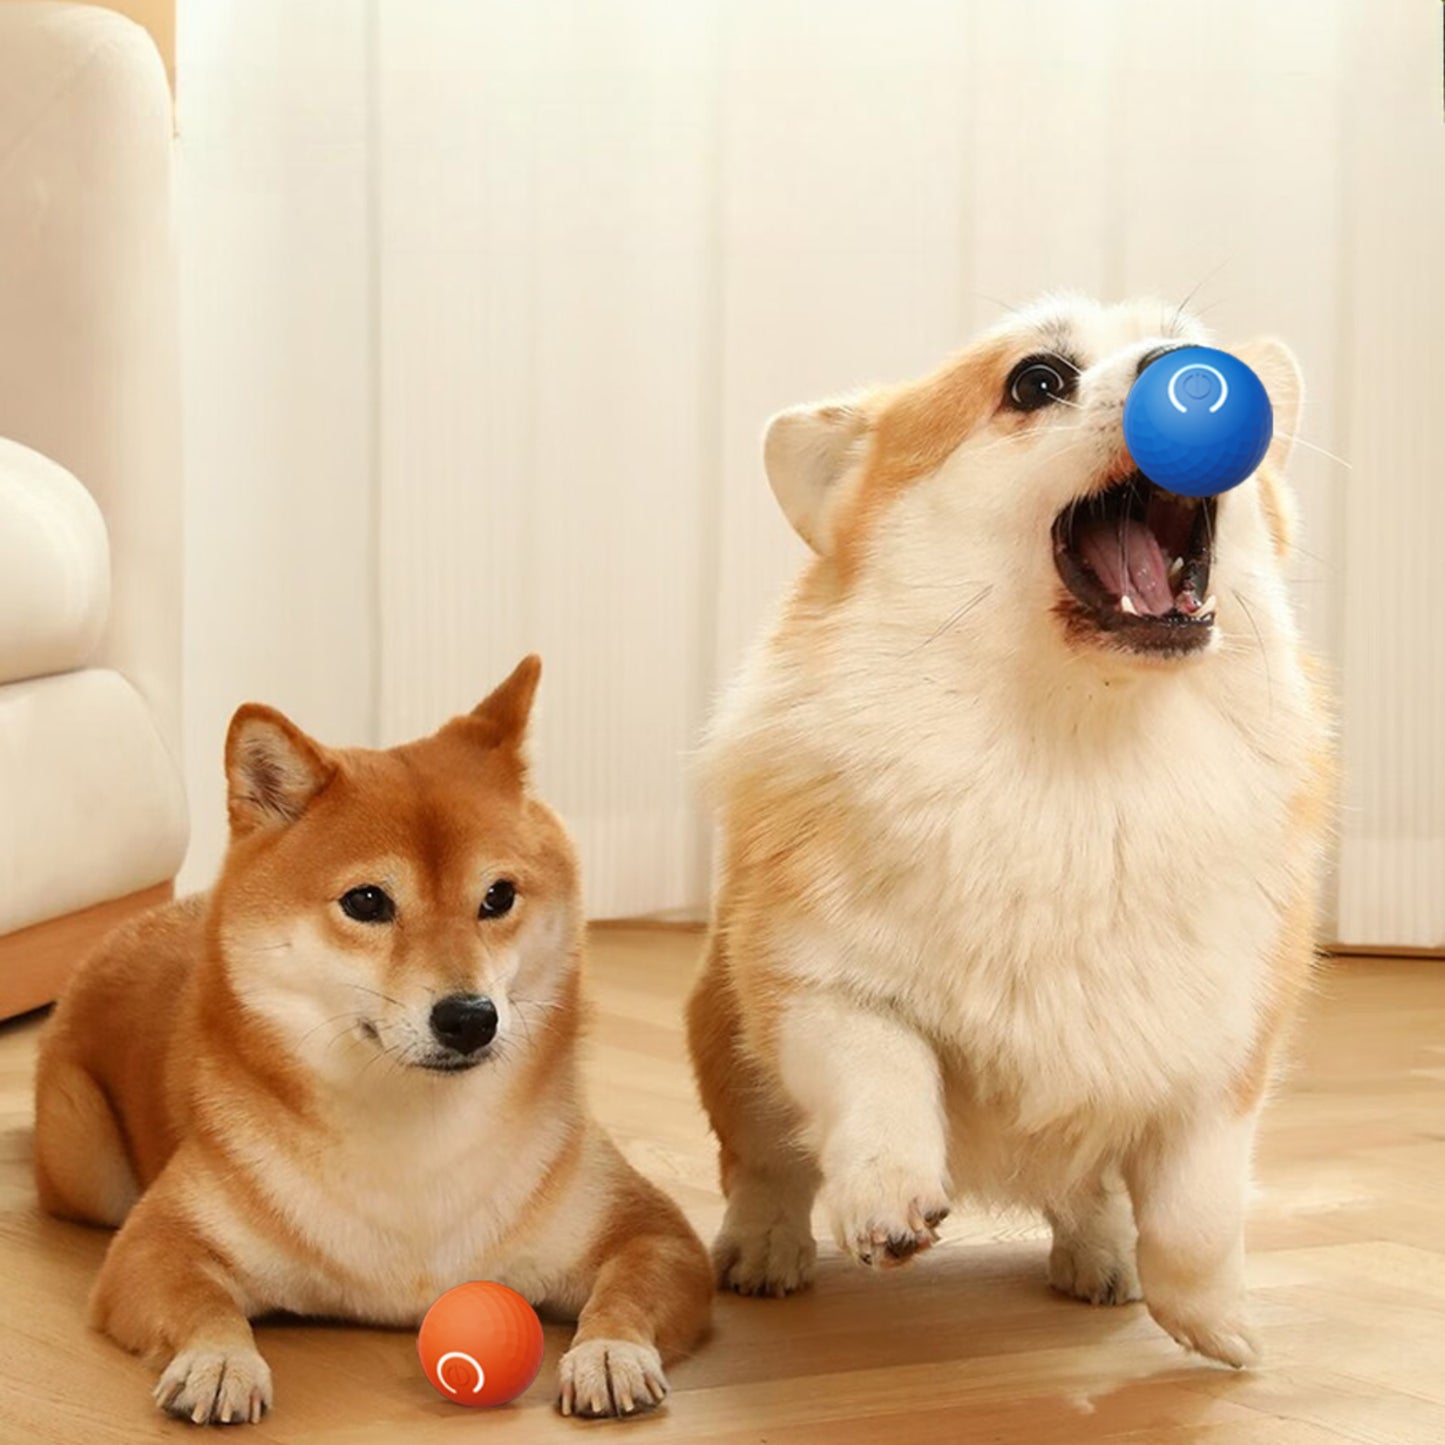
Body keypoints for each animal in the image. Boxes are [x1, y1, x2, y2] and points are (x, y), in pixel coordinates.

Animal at [33, 661, 710, 1427]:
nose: (470, 1017)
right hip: (88, 1165)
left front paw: (608, 1352)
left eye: (498, 896)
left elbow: (630, 1287)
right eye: (366, 902)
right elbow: (201, 1302)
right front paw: (218, 1361)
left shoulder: (650, 1231)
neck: (417, 1140)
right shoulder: (155, 1244)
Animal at [684, 296, 1329, 1364]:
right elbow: (882, 1070)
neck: (1079, 761)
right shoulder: (810, 983)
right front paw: (886, 1197)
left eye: (1197, 338)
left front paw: (1212, 1322)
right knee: (767, 1162)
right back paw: (765, 1249)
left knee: (1093, 1190)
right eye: (1036, 381)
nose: (1193, 369)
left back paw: (1101, 1256)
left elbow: (1196, 1207)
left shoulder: (1224, 1050)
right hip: (726, 1044)